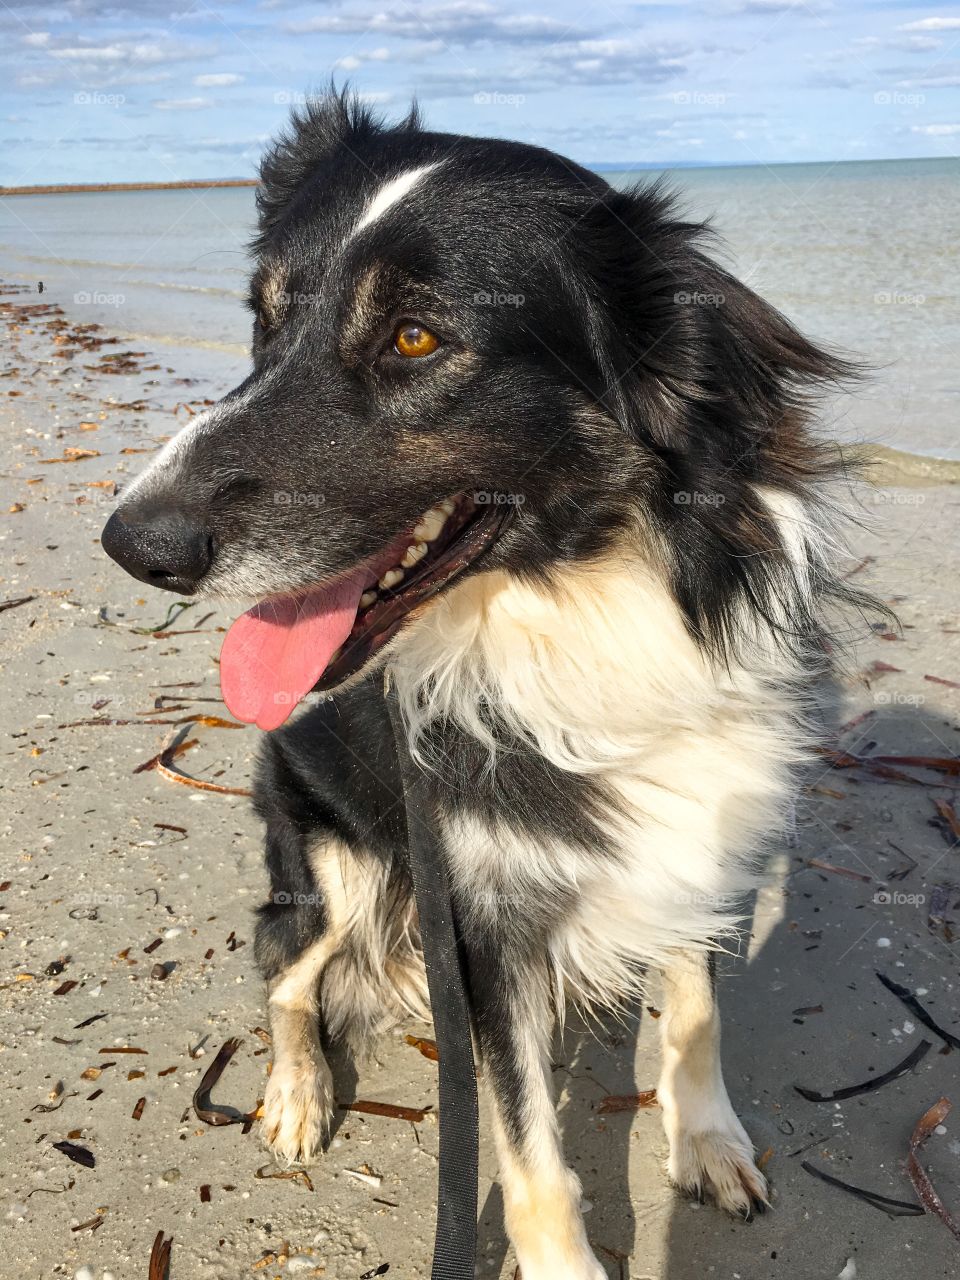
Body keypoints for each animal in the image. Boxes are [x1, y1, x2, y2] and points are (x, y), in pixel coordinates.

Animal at [104, 92, 870, 1280]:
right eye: (264, 322)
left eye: (415, 338)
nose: (132, 545)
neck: (581, 609)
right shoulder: (482, 923)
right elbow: (530, 1151)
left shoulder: (703, 832)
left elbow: (696, 1011)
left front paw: (707, 1143)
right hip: (331, 866)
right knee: (284, 971)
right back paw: (294, 1093)